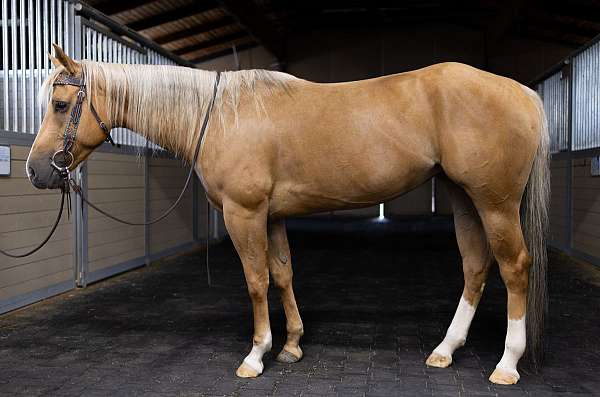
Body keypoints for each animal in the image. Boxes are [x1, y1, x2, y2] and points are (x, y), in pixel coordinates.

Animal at [25, 45, 548, 384]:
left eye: (60, 104)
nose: (35, 170)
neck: (218, 115)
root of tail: (521, 92)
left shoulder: (244, 214)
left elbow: (256, 280)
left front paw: (257, 354)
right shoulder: (271, 215)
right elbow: (282, 274)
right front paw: (293, 345)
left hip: (495, 203)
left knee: (515, 268)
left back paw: (507, 364)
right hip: (464, 198)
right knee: (476, 267)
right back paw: (445, 350)